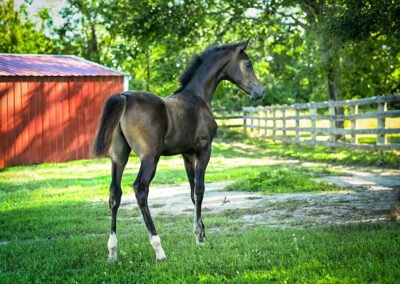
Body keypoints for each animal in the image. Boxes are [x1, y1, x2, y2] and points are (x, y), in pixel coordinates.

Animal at [92, 40, 264, 262]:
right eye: (248, 64)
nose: (260, 91)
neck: (198, 97)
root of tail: (125, 96)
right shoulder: (204, 150)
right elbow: (200, 190)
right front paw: (199, 236)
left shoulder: (187, 154)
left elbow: (192, 192)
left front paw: (201, 233)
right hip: (150, 158)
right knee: (140, 189)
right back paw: (158, 249)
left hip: (118, 157)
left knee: (115, 192)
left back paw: (112, 250)